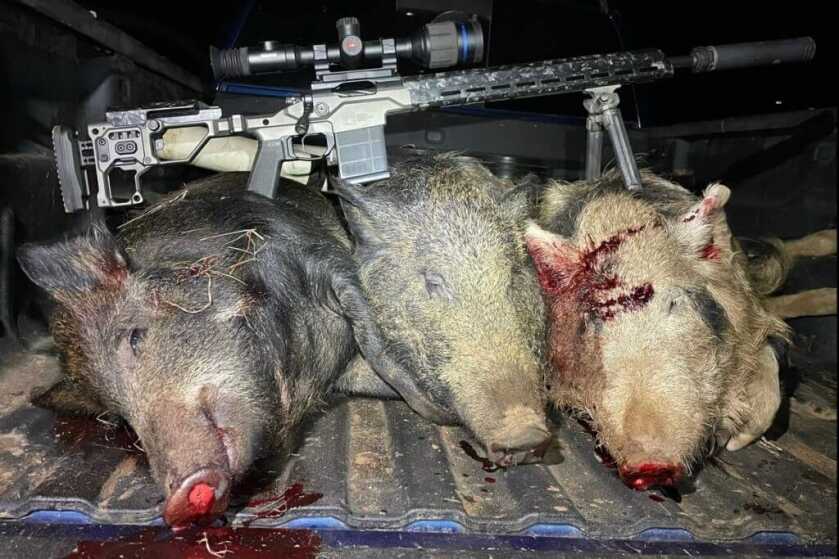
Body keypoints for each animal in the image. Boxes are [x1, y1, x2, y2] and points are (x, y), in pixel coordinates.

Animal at [16, 171, 424, 527]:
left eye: (135, 336)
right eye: (118, 415)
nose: (175, 504)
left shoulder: (318, 256)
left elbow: (378, 343)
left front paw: (432, 407)